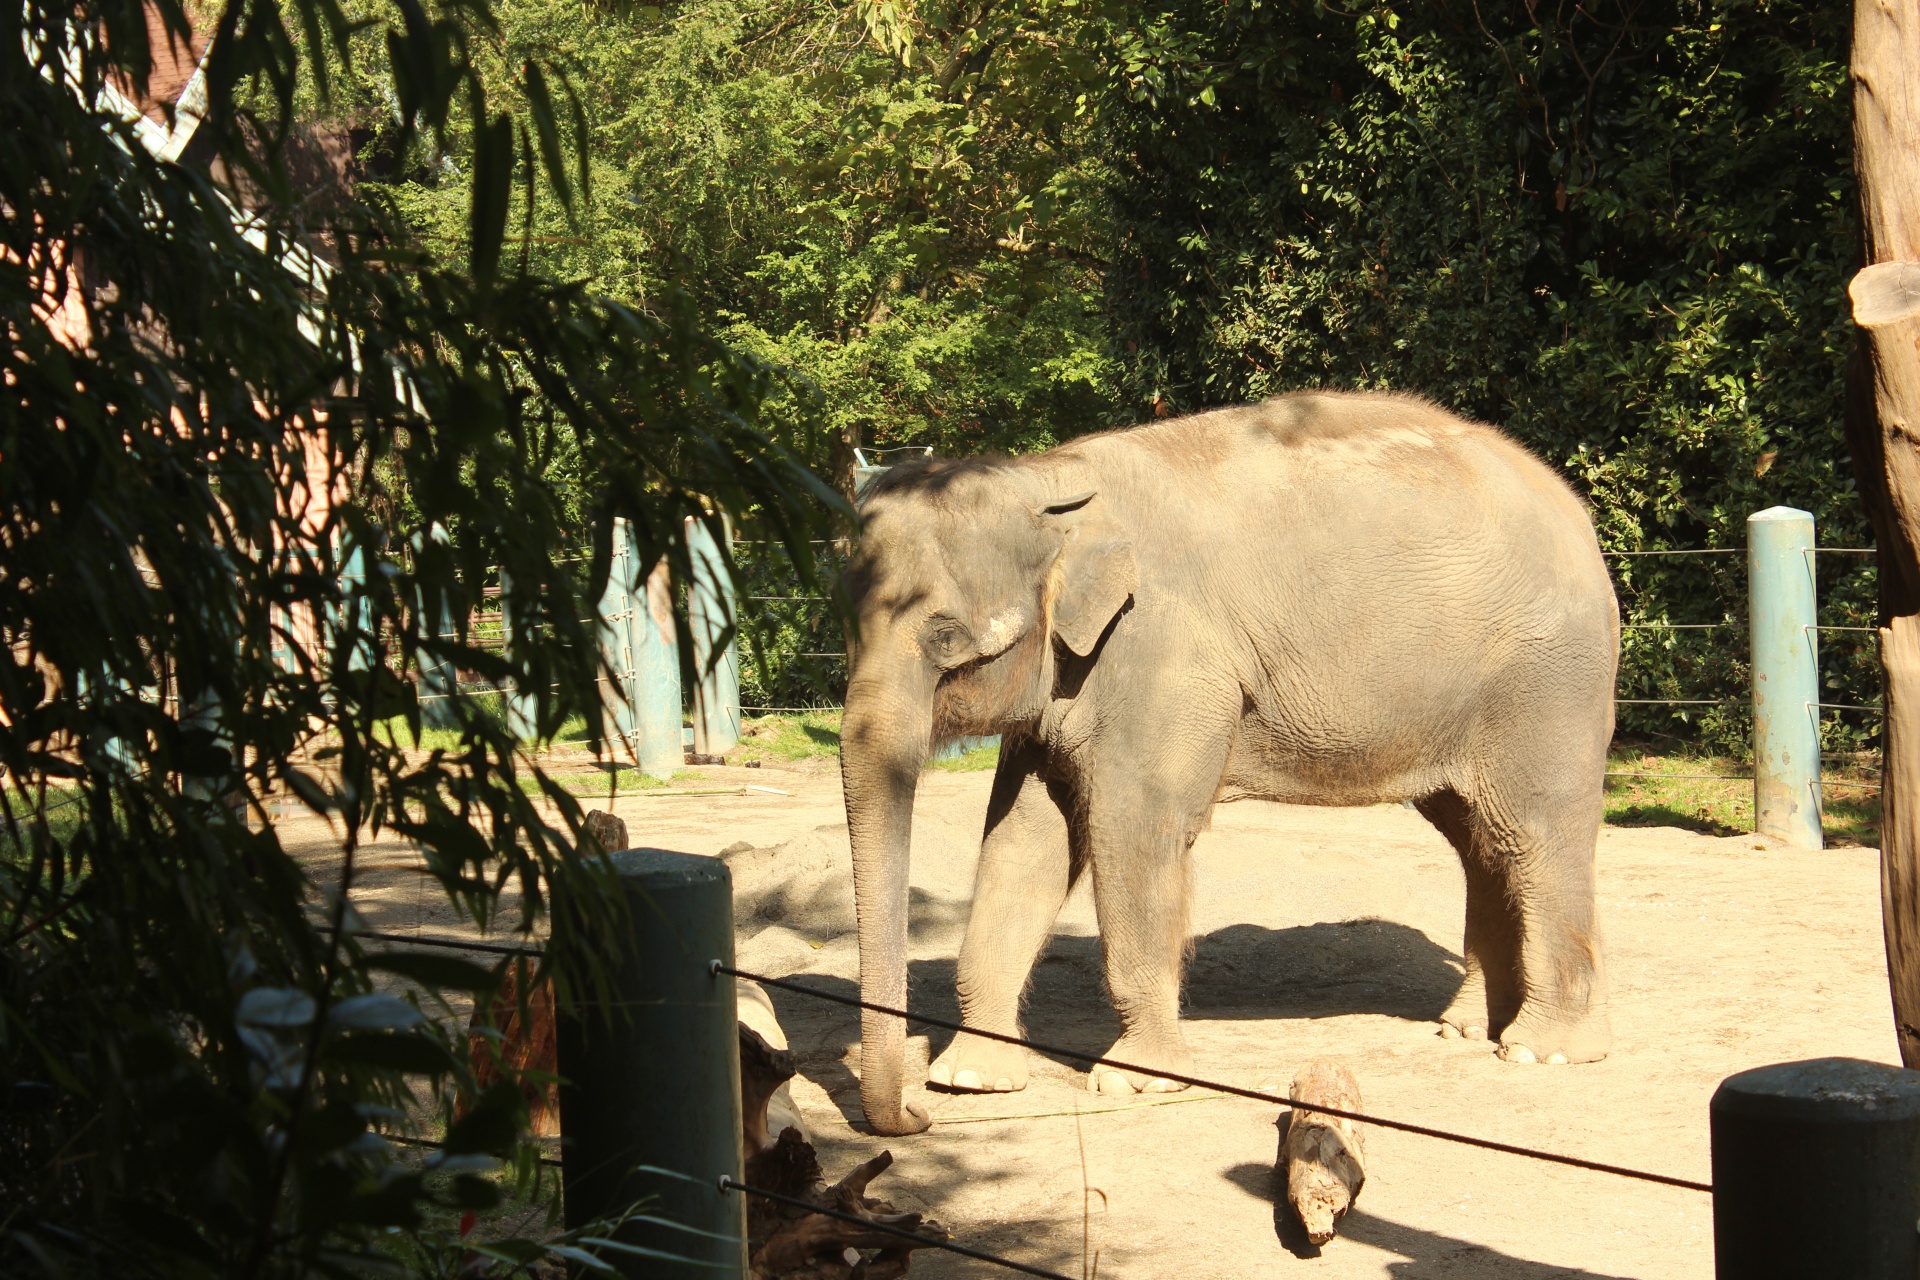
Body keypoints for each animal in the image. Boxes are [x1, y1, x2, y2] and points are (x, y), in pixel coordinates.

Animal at [840, 387, 1620, 1128]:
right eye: (844, 623)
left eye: (946, 638)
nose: (911, 1116)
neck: (1051, 477)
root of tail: (1574, 512)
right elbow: (1023, 837)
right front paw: (972, 1079)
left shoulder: (1167, 650)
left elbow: (1133, 832)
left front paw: (1134, 1080)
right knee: (1478, 837)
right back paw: (1466, 1030)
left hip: (1548, 679)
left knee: (1535, 832)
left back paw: (1542, 1050)